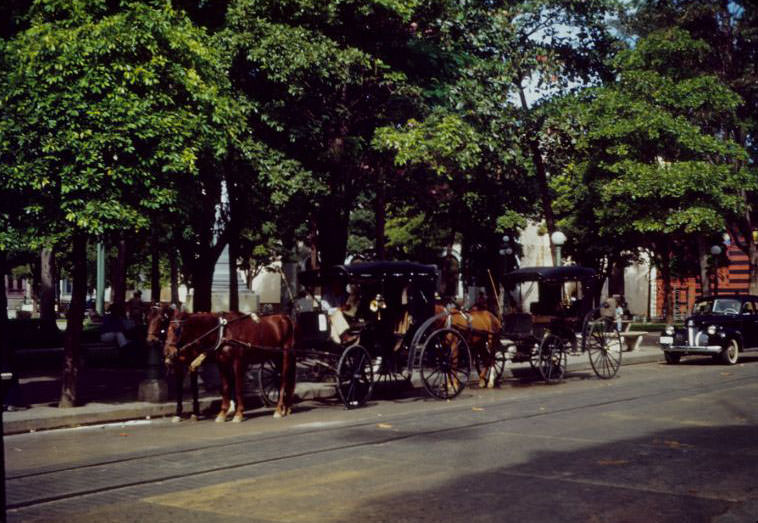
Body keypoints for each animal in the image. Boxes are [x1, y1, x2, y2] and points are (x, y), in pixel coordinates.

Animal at [163, 312, 296, 422]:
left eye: (175, 330)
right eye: (165, 330)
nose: (167, 352)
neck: (224, 332)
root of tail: (286, 318)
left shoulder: (238, 362)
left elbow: (237, 387)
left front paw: (238, 413)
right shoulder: (222, 363)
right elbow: (226, 387)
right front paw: (222, 413)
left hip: (285, 355)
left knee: (283, 379)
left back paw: (279, 409)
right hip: (276, 357)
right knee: (284, 378)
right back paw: (287, 407)